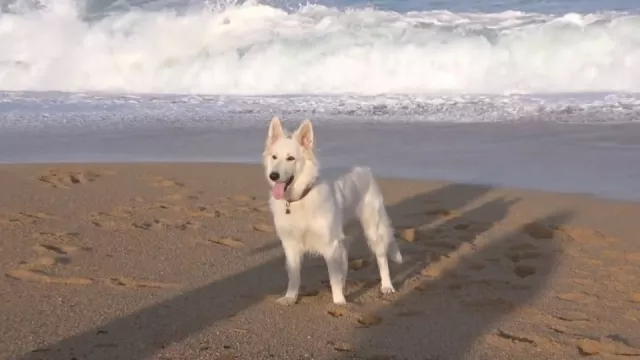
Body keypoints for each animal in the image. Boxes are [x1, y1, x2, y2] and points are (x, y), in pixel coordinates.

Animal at [262, 116, 402, 306]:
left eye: (290, 158)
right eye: (274, 157)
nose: (273, 175)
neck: (301, 198)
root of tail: (364, 169)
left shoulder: (330, 244)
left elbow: (333, 277)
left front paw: (339, 302)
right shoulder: (291, 245)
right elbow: (294, 275)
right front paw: (290, 297)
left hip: (373, 230)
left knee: (381, 259)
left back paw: (386, 286)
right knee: (344, 264)